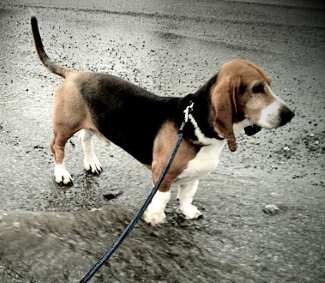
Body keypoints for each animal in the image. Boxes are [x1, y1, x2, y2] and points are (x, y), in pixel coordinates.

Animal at [30, 17, 294, 226]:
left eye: (269, 84)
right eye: (257, 89)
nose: (289, 114)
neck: (194, 124)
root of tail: (74, 74)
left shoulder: (194, 175)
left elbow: (188, 194)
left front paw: (188, 211)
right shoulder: (162, 174)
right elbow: (163, 197)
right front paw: (155, 217)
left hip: (93, 122)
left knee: (86, 138)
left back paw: (91, 163)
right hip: (65, 126)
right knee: (57, 147)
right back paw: (61, 174)